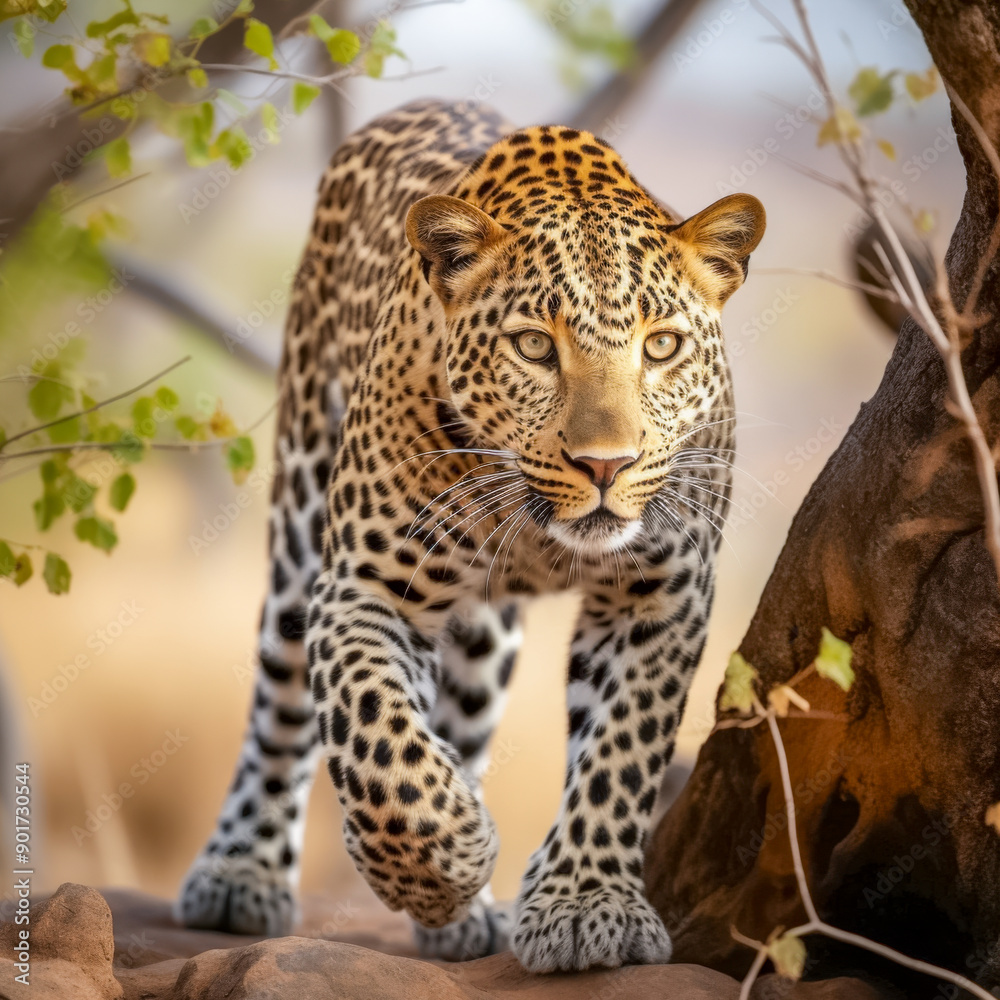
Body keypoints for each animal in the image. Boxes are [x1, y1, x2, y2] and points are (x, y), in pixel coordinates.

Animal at [175, 98, 765, 973]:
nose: (606, 465)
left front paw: (585, 902)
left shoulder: (661, 591)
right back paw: (240, 871)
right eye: (534, 346)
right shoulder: (364, 586)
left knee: (462, 710)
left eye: (662, 346)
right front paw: (440, 861)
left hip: (484, 628)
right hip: (298, 518)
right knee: (280, 708)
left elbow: (621, 748)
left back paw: (462, 914)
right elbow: (374, 732)